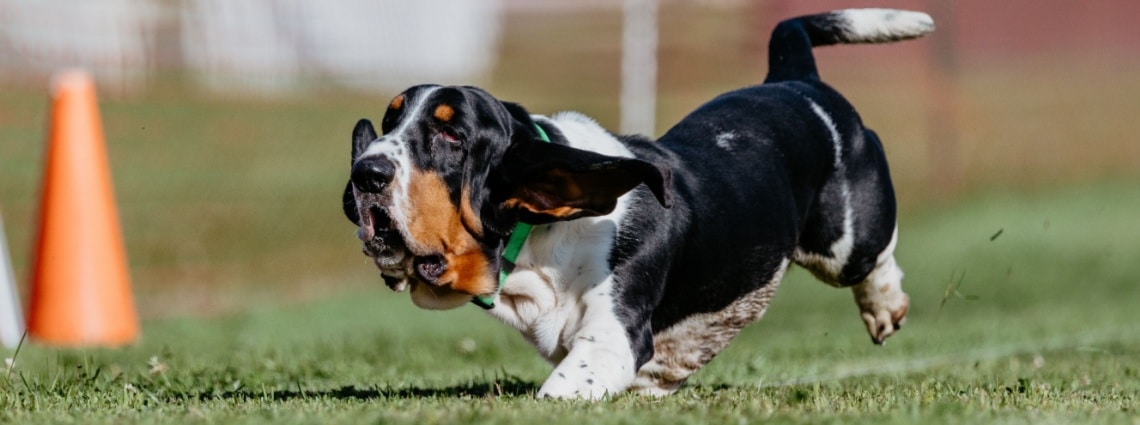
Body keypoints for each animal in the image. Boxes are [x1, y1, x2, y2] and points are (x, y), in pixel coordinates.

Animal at [342, 7, 930, 396]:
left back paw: (884, 308)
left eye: (452, 135)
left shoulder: (610, 339)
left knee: (875, 258)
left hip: (845, 242)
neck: (536, 244)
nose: (365, 172)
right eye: (391, 120)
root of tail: (794, 78)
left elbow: (556, 391)